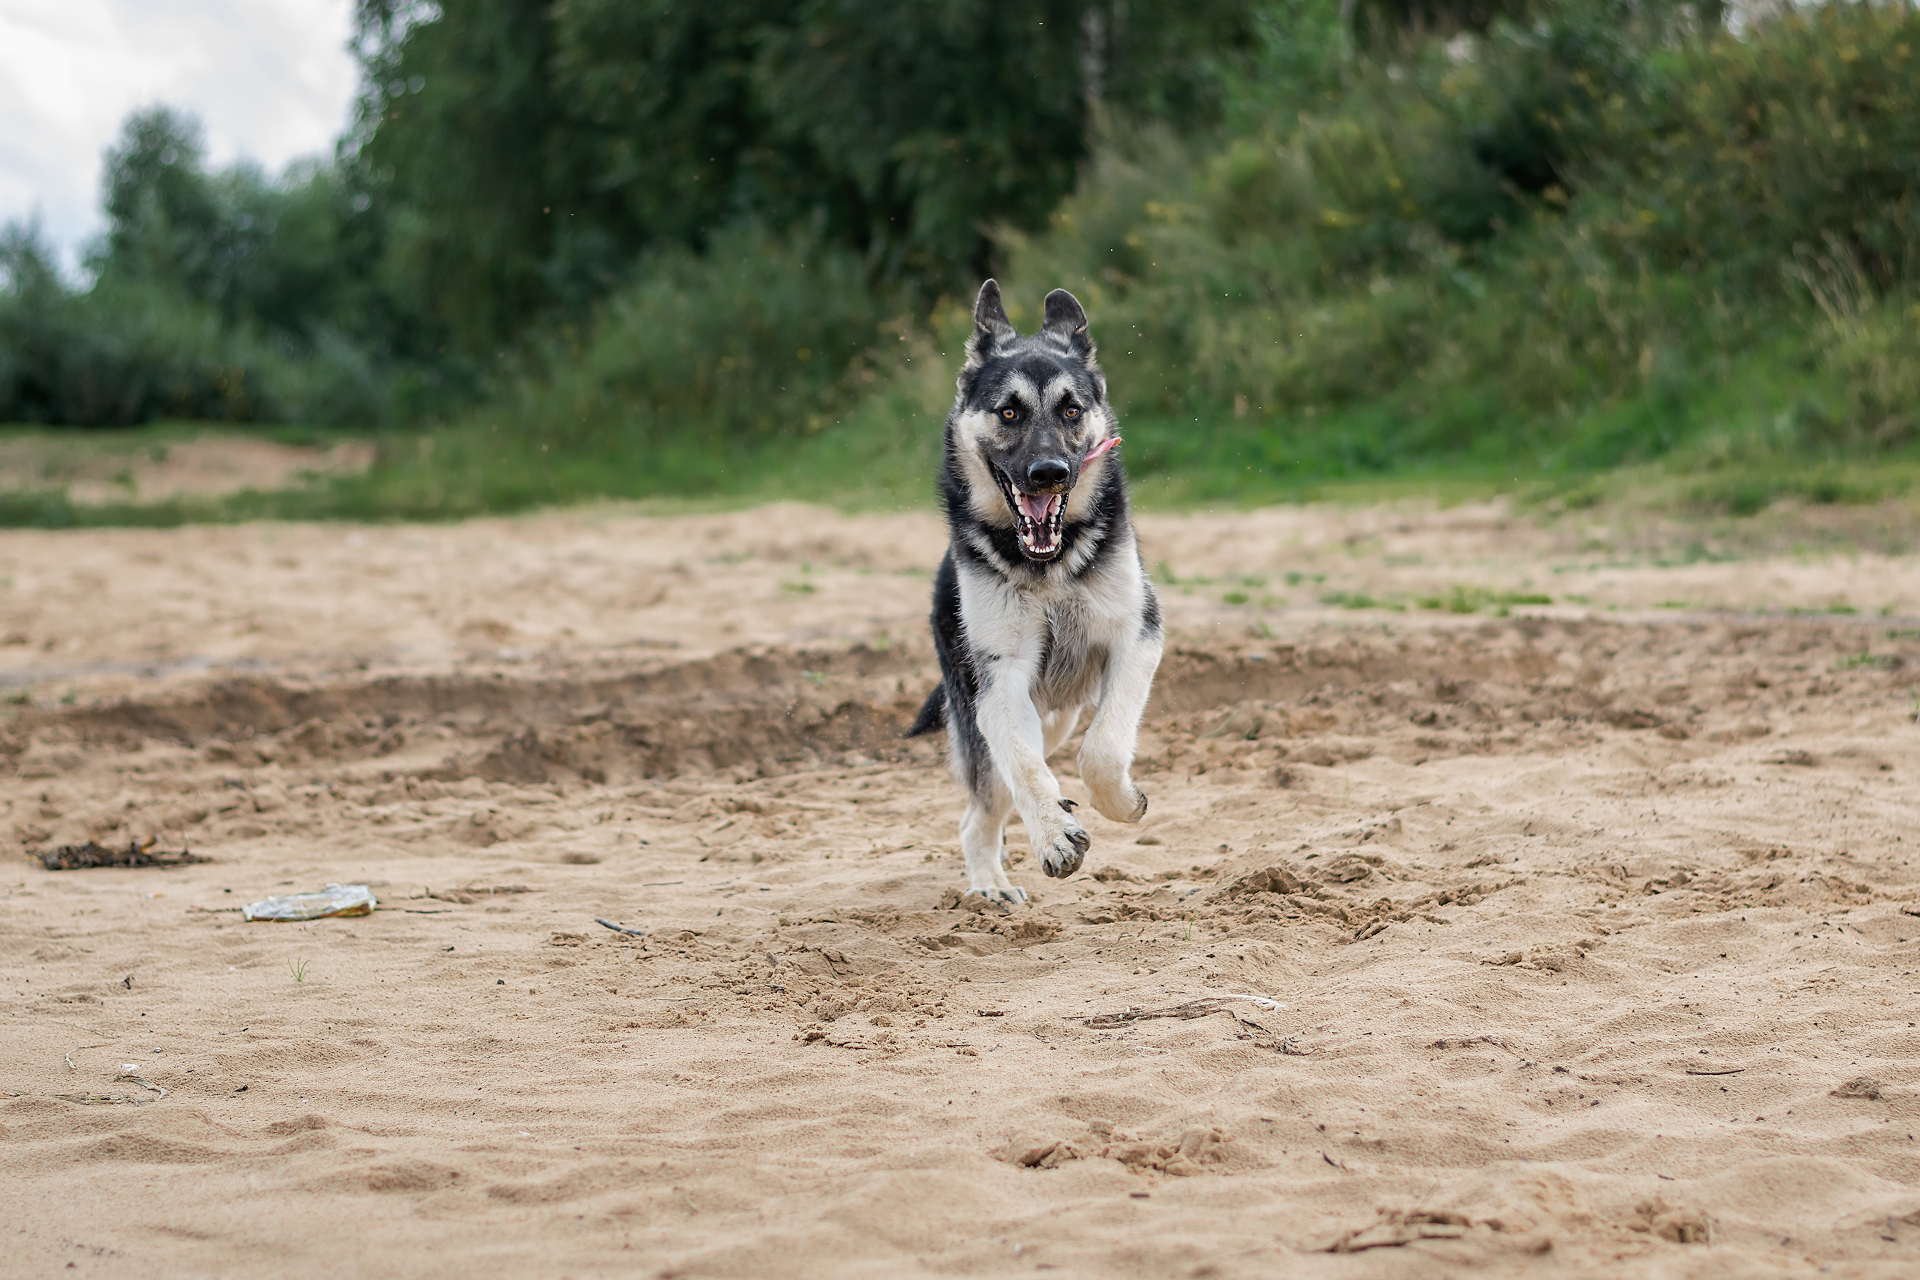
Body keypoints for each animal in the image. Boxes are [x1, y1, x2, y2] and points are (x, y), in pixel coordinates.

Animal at [906, 282, 1159, 901]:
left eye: (1071, 409)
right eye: (1009, 412)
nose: (1049, 472)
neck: (1050, 568)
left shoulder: (1136, 638)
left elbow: (1104, 747)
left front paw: (1122, 802)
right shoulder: (1000, 678)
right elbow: (1023, 767)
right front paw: (1054, 834)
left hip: (1058, 715)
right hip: (984, 714)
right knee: (981, 809)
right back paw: (990, 885)